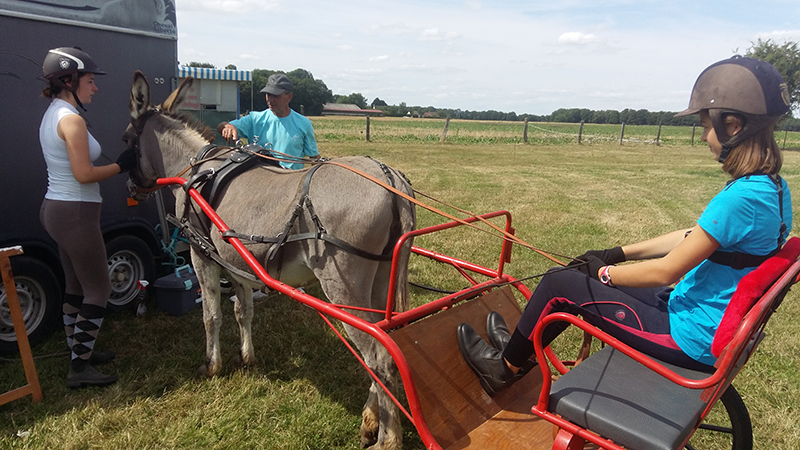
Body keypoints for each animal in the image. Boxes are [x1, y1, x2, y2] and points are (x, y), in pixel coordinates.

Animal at [125, 71, 416, 450]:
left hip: (344, 290)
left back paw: (387, 438)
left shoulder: (202, 256)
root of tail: (390, 177)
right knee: (384, 343)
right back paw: (371, 419)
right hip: (380, 282)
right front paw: (246, 357)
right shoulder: (237, 263)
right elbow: (242, 310)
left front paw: (212, 365)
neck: (196, 171)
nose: (130, 187)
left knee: (379, 358)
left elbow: (211, 316)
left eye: (125, 137)